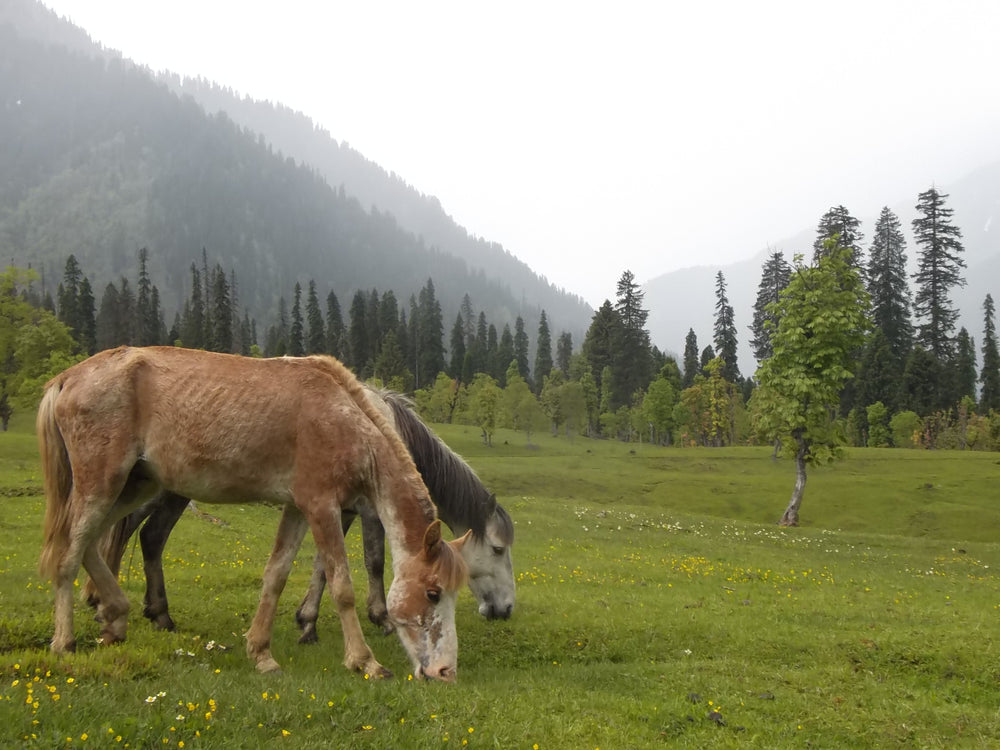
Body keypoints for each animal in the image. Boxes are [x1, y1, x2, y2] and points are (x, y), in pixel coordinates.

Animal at [36, 346, 469, 681]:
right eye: (432, 593)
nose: (445, 671)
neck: (342, 416)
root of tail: (67, 378)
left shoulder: (298, 508)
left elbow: (275, 576)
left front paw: (261, 653)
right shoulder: (322, 507)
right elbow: (341, 586)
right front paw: (364, 661)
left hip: (132, 486)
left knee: (91, 543)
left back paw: (116, 617)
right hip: (101, 484)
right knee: (68, 553)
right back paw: (66, 641)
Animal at [90, 388, 515, 642]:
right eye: (497, 549)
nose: (506, 610)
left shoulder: (340, 509)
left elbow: (323, 566)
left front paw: (306, 621)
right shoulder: (370, 512)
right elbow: (374, 561)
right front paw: (380, 617)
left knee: (141, 536)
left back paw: (144, 611)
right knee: (128, 533)